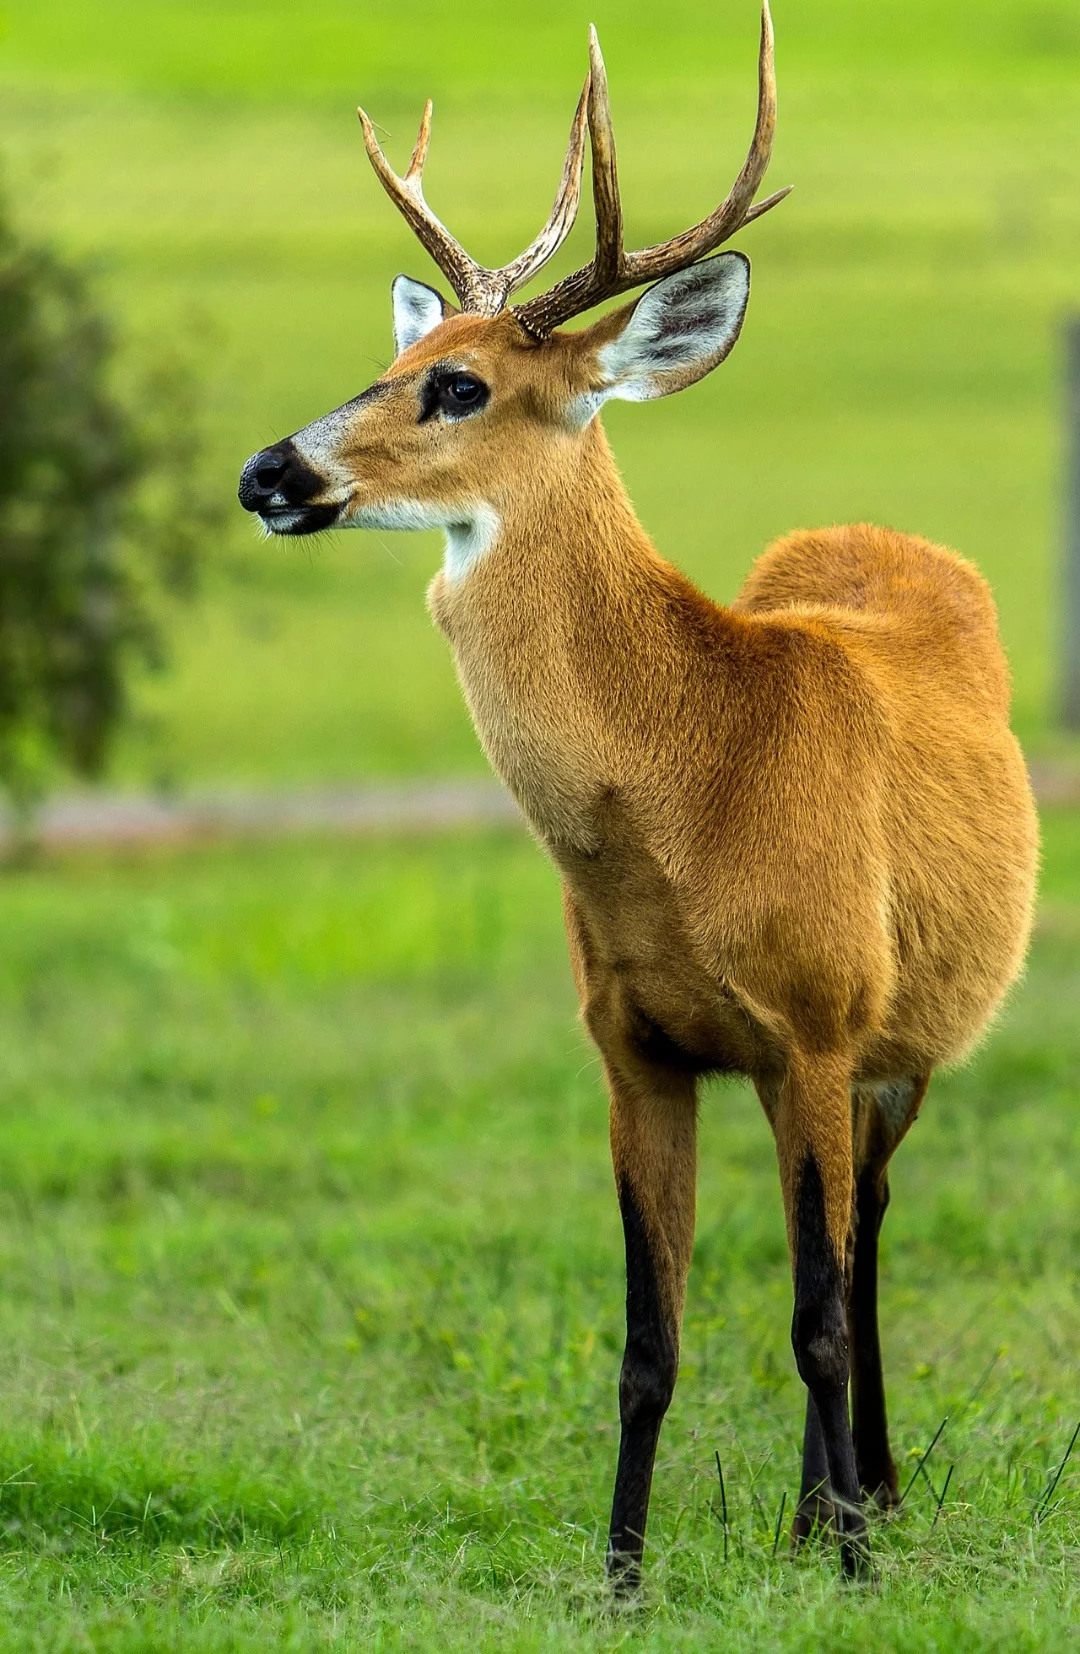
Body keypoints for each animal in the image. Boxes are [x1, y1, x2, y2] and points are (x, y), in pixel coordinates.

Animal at [238, 2, 1038, 1590]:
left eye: (460, 384)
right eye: (394, 355)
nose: (266, 471)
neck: (692, 788)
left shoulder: (817, 1021)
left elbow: (815, 1313)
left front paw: (856, 1574)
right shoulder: (631, 1044)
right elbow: (647, 1341)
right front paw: (622, 1575)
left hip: (902, 1041)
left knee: (864, 1246)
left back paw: (863, 1502)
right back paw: (821, 1503)